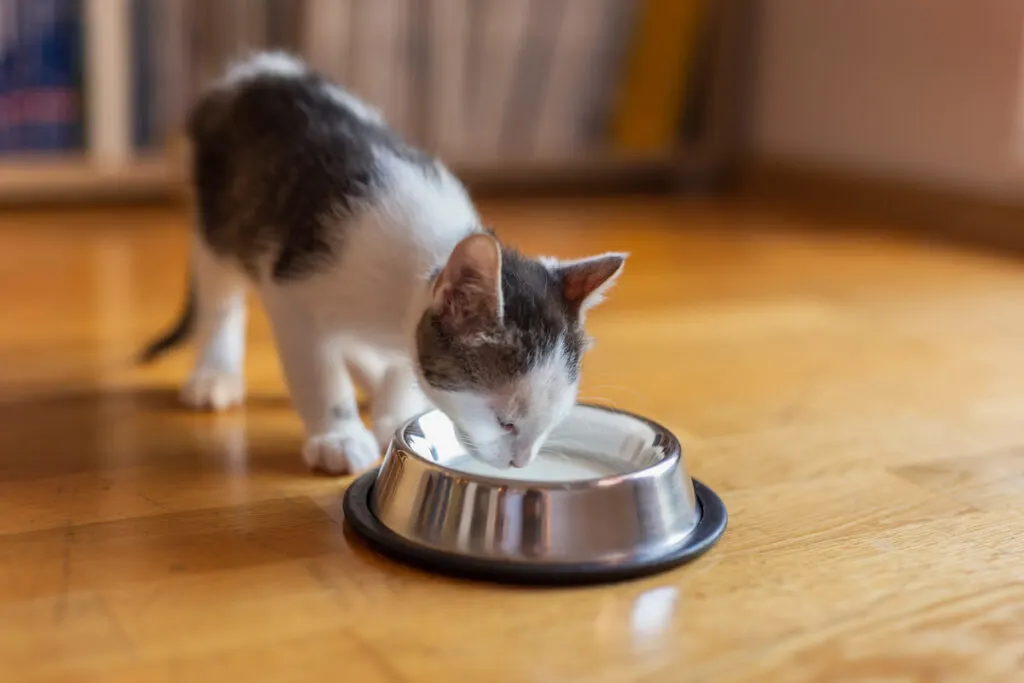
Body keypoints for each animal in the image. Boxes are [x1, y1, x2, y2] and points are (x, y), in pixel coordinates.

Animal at [140, 52, 626, 475]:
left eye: (552, 423)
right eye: (505, 422)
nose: (521, 463)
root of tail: (252, 67)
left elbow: (401, 365)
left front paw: (395, 414)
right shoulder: (292, 294)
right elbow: (319, 370)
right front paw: (337, 435)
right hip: (217, 217)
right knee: (220, 297)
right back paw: (215, 373)